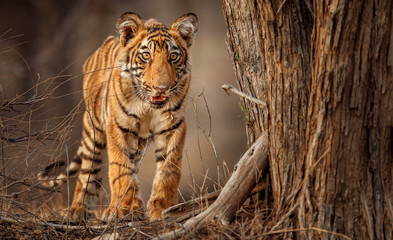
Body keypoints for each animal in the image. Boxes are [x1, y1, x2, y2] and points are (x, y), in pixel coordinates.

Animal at [39, 11, 199, 221]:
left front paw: (163, 209)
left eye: (173, 56)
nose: (161, 88)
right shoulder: (118, 127)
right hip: (92, 128)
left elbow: (169, 170)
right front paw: (123, 210)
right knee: (88, 171)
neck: (148, 107)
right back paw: (78, 210)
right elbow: (120, 169)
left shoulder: (173, 127)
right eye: (146, 56)